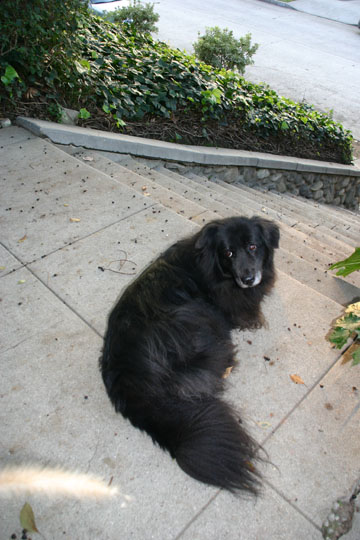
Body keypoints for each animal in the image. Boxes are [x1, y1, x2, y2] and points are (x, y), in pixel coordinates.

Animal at [100, 216, 280, 494]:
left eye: (252, 246)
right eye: (228, 253)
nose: (248, 278)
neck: (213, 268)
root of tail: (127, 378)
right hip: (193, 315)